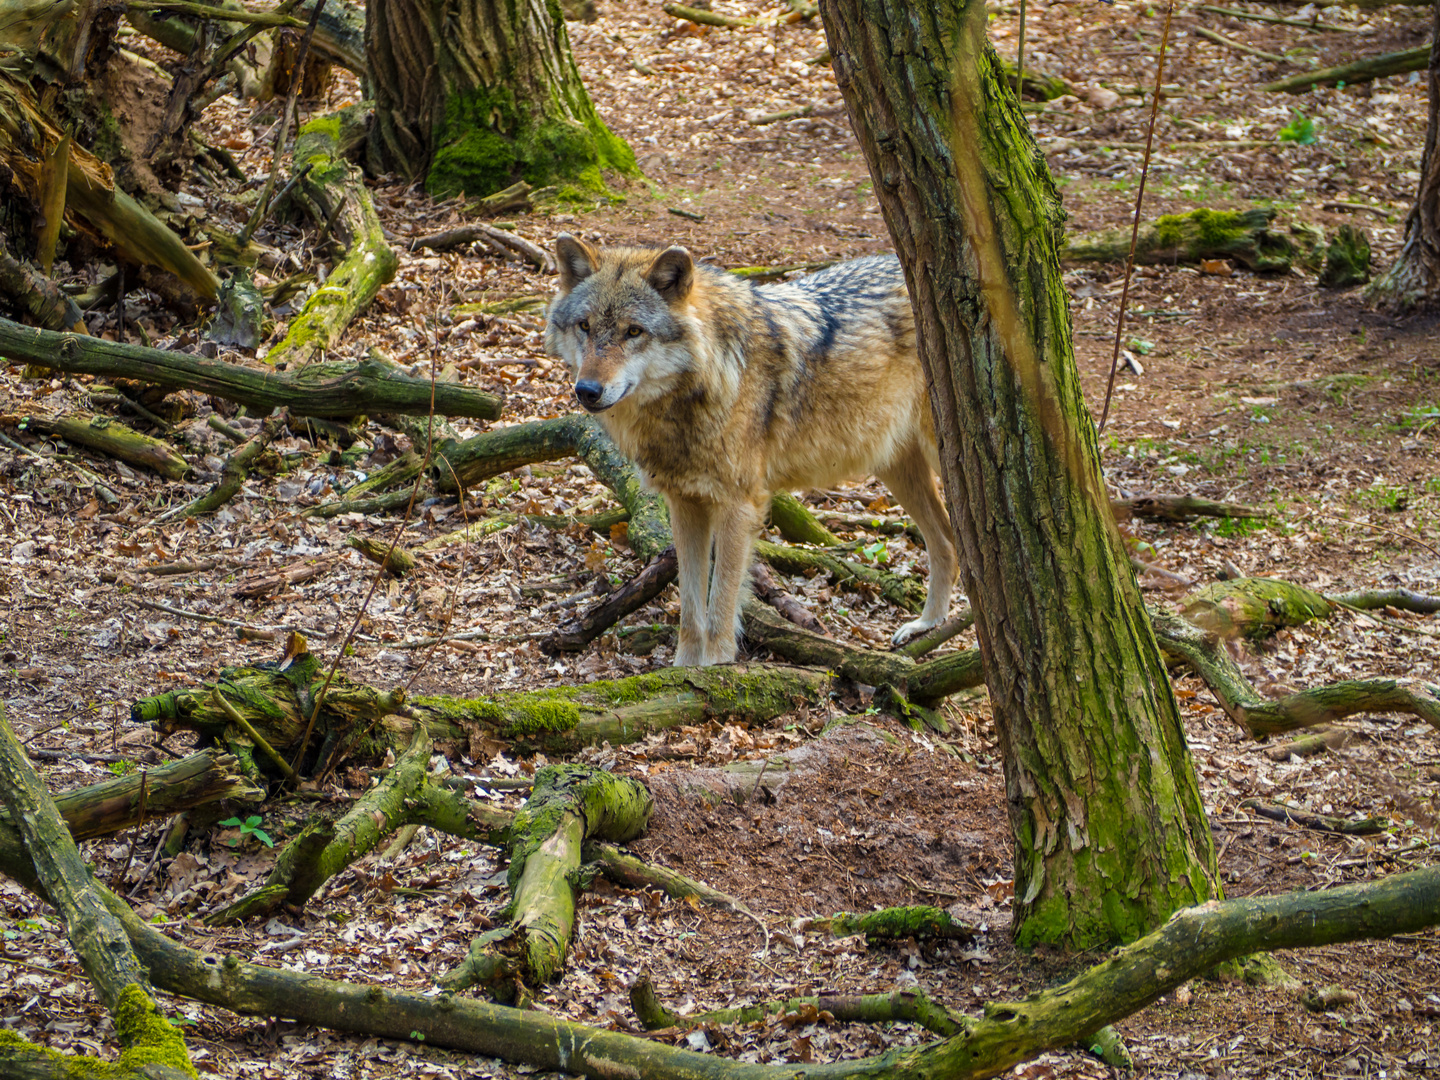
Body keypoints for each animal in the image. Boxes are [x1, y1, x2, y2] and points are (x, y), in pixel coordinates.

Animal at [544, 239, 961, 668]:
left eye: (633, 331)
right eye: (585, 326)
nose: (587, 390)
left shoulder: (738, 506)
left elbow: (721, 607)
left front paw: (716, 670)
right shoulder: (685, 504)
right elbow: (690, 609)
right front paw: (681, 671)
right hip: (896, 468)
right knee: (946, 543)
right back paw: (926, 626)